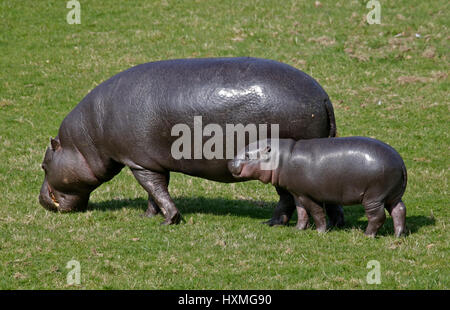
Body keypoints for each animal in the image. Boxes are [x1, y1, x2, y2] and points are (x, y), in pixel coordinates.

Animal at [40, 57, 344, 225]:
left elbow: (156, 189)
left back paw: (271, 223)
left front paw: (169, 220)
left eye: (43, 165)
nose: (41, 199)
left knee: (286, 199)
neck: (86, 140)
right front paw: (149, 216)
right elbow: (155, 192)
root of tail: (323, 98)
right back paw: (336, 224)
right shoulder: (151, 161)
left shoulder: (138, 162)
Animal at [229, 137, 408, 236]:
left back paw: (367, 235)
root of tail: (400, 161)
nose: (230, 163)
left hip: (374, 197)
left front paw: (320, 231)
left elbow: (316, 212)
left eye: (247, 155)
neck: (282, 157)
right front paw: (298, 229)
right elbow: (301, 212)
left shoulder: (307, 195)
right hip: (392, 195)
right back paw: (398, 235)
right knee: (399, 210)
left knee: (378, 217)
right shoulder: (297, 193)